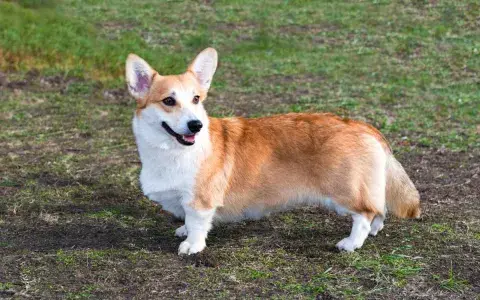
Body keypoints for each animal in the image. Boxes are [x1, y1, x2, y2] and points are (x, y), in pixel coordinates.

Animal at [126, 48, 420, 254]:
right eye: (168, 101)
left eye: (196, 99)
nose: (195, 125)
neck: (171, 151)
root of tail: (363, 126)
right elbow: (187, 221)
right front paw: (182, 230)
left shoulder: (200, 200)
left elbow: (197, 224)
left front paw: (192, 245)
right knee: (379, 209)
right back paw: (373, 232)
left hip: (345, 190)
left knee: (366, 213)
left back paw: (350, 243)